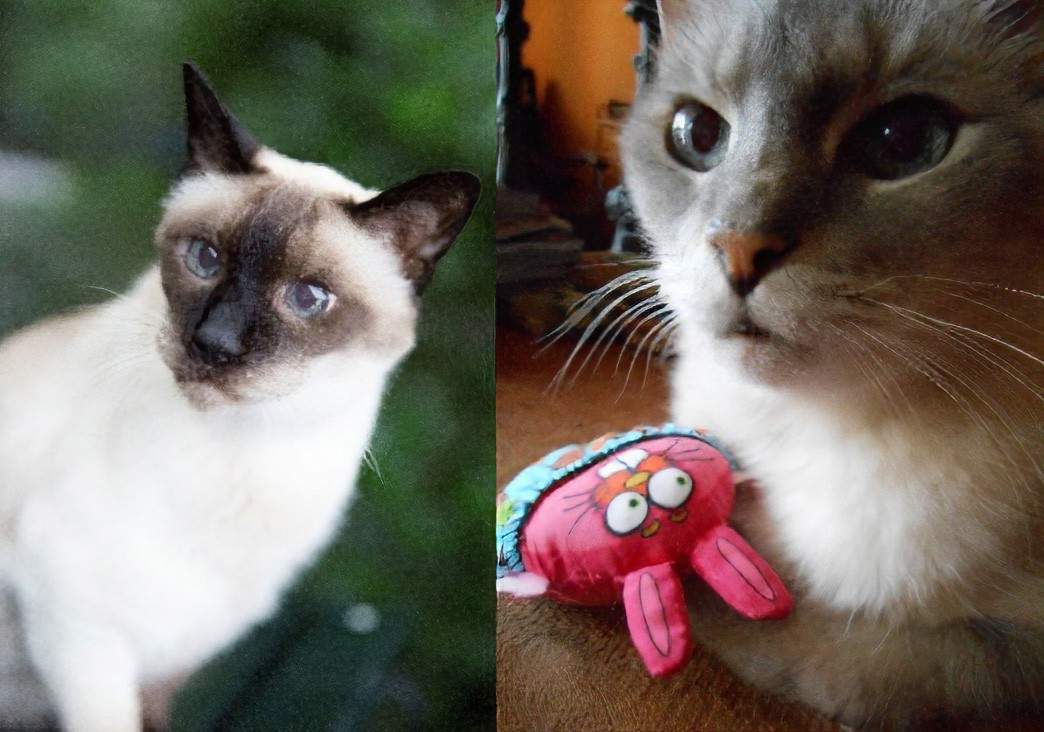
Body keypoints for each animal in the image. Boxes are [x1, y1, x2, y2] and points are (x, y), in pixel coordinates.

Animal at [0, 64, 478, 730]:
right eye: (204, 259)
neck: (243, 454)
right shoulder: (80, 629)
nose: (214, 343)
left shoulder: (175, 658)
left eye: (308, 297)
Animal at [618, 0, 1044, 726]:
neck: (805, 428)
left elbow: (814, 651)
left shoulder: (1001, 655)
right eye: (697, 134)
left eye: (904, 139)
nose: (738, 247)